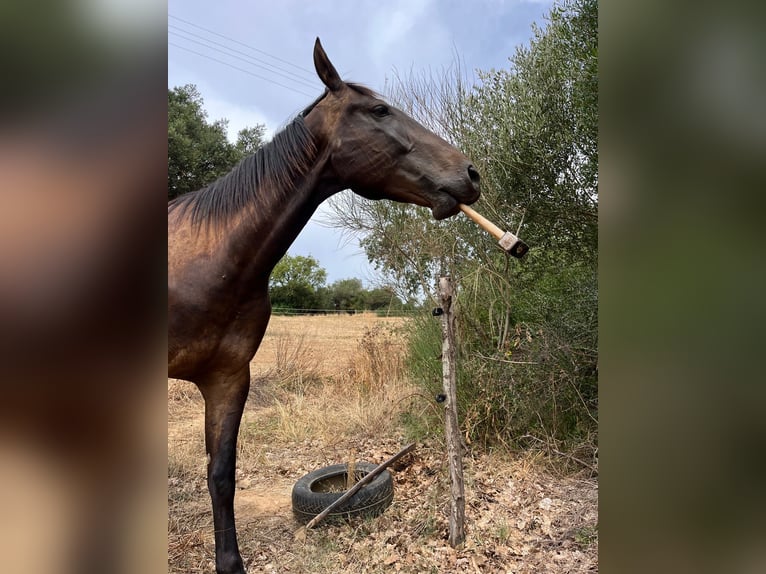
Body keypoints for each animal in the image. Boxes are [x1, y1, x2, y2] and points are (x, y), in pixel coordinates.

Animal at [168, 38, 481, 574]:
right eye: (379, 110)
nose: (471, 174)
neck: (213, 258)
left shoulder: (228, 378)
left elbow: (221, 475)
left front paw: (231, 562)